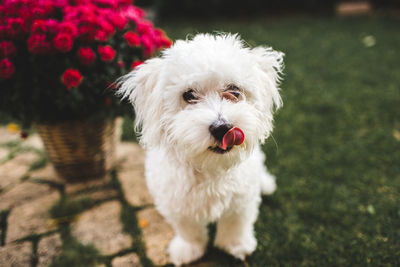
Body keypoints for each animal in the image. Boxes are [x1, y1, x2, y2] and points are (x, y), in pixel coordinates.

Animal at [117, 33, 282, 266]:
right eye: (189, 95)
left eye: (234, 91)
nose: (222, 128)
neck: (210, 168)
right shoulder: (175, 202)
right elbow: (188, 229)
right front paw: (189, 250)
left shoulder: (242, 199)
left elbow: (236, 223)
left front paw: (236, 245)